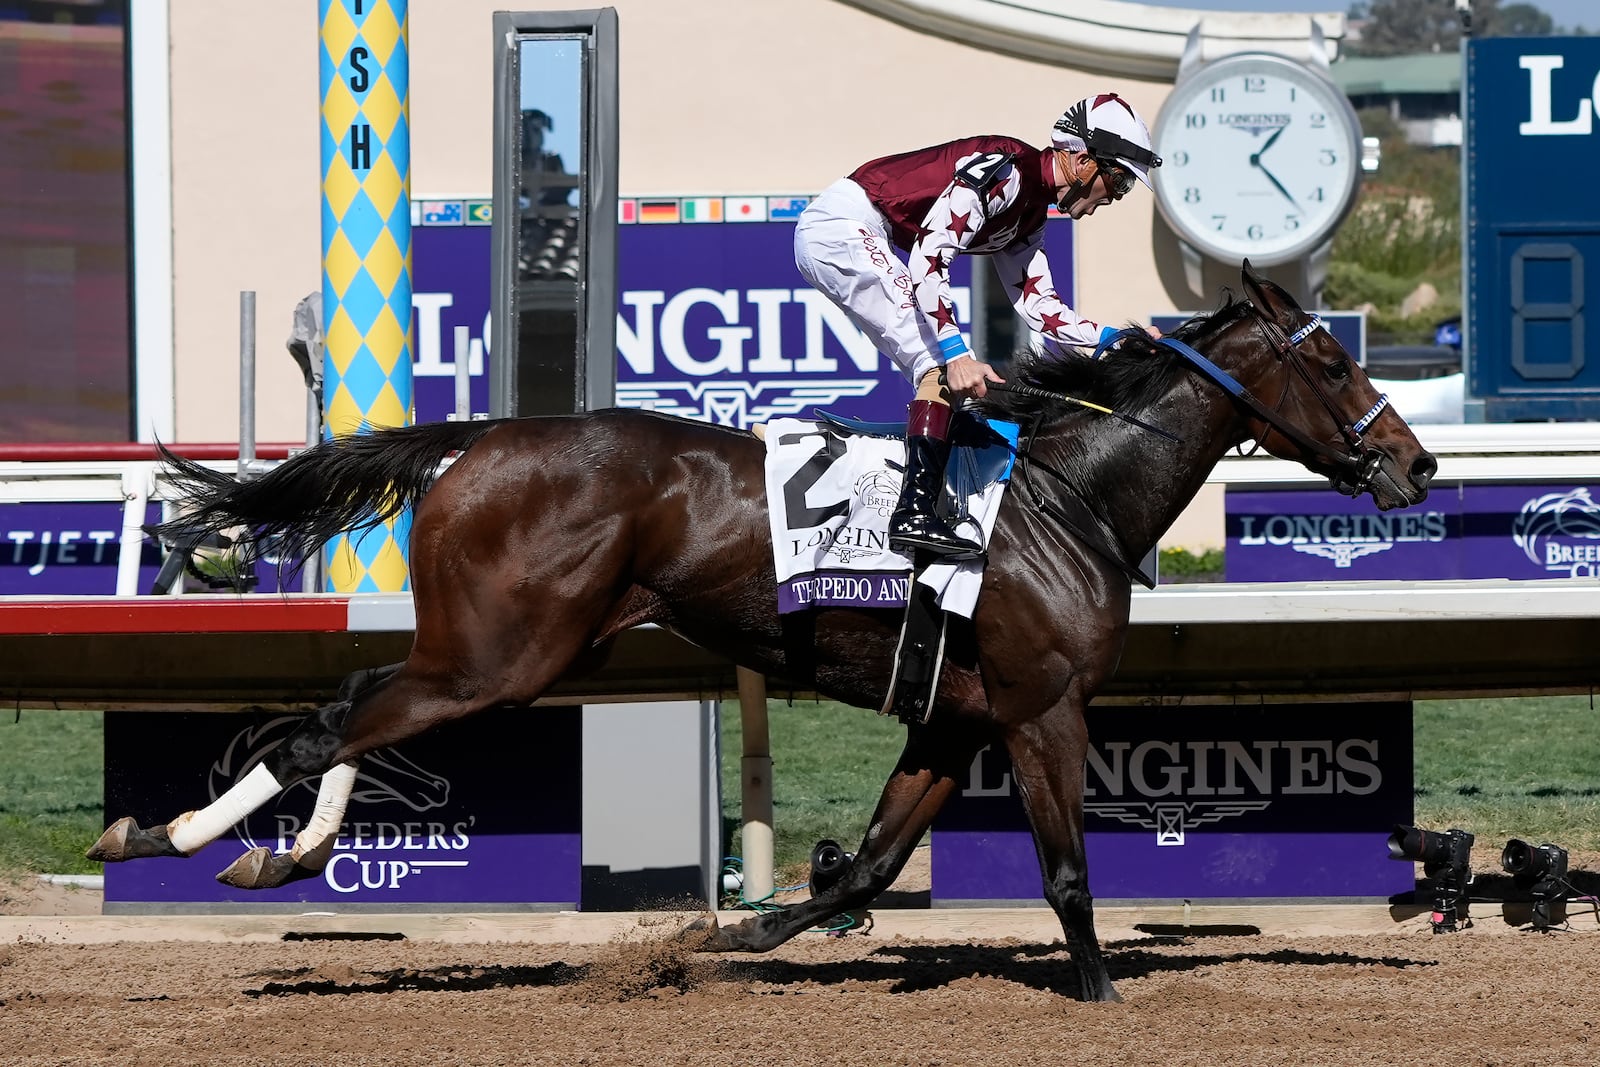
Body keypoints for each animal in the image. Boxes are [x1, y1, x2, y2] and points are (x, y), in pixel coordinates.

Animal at [87, 265, 1440, 1004]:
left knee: (348, 699)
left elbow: (868, 867)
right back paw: (179, 835)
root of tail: (480, 438)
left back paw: (261, 847)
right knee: (326, 726)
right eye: (1330, 357)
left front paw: (717, 937)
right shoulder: (1042, 707)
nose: (1418, 461)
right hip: (504, 657)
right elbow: (1063, 869)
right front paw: (1104, 991)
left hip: (488, 651)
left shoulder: (954, 717)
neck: (1071, 498)